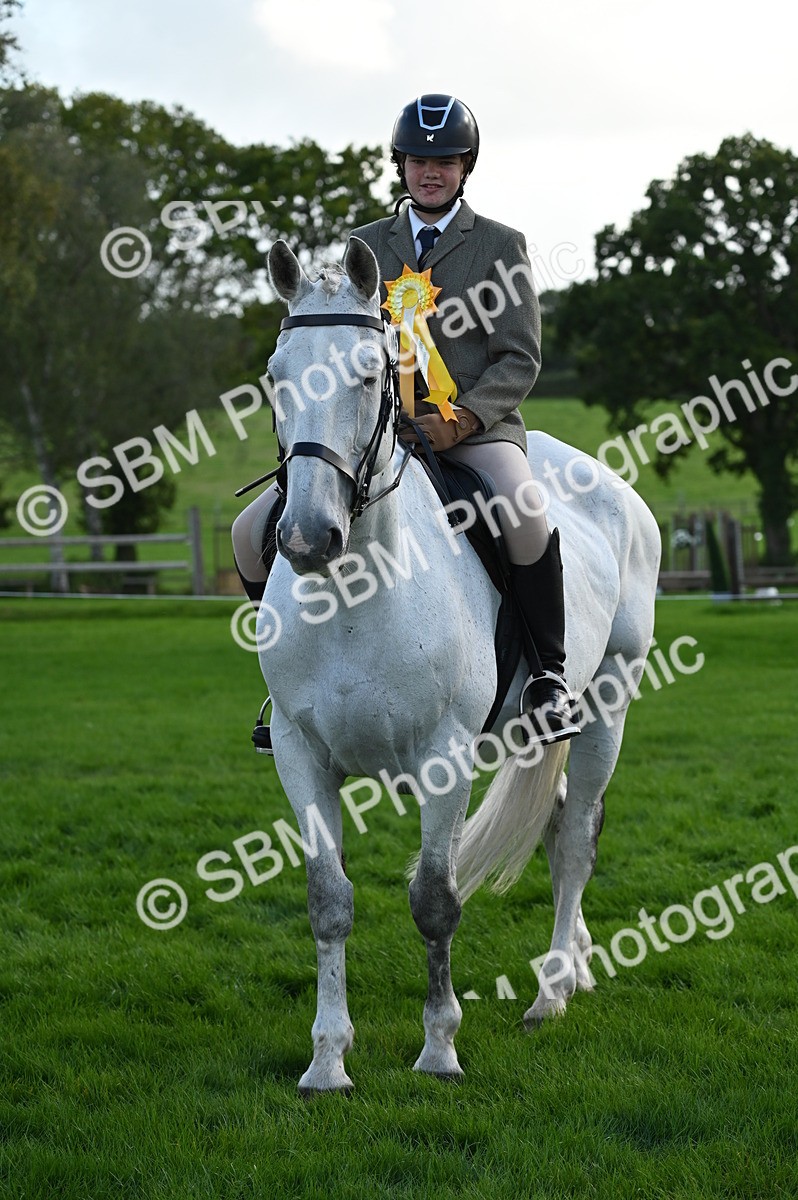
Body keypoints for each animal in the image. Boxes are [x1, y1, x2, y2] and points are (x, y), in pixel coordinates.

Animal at [255, 235, 661, 1094]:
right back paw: (576, 966)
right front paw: (327, 1062)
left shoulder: (443, 759)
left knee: (577, 836)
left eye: (369, 373)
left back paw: (550, 994)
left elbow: (435, 901)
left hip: (609, 699)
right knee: (559, 821)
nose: (307, 537)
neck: (356, 590)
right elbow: (327, 901)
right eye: (276, 375)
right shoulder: (302, 755)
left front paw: (439, 1049)